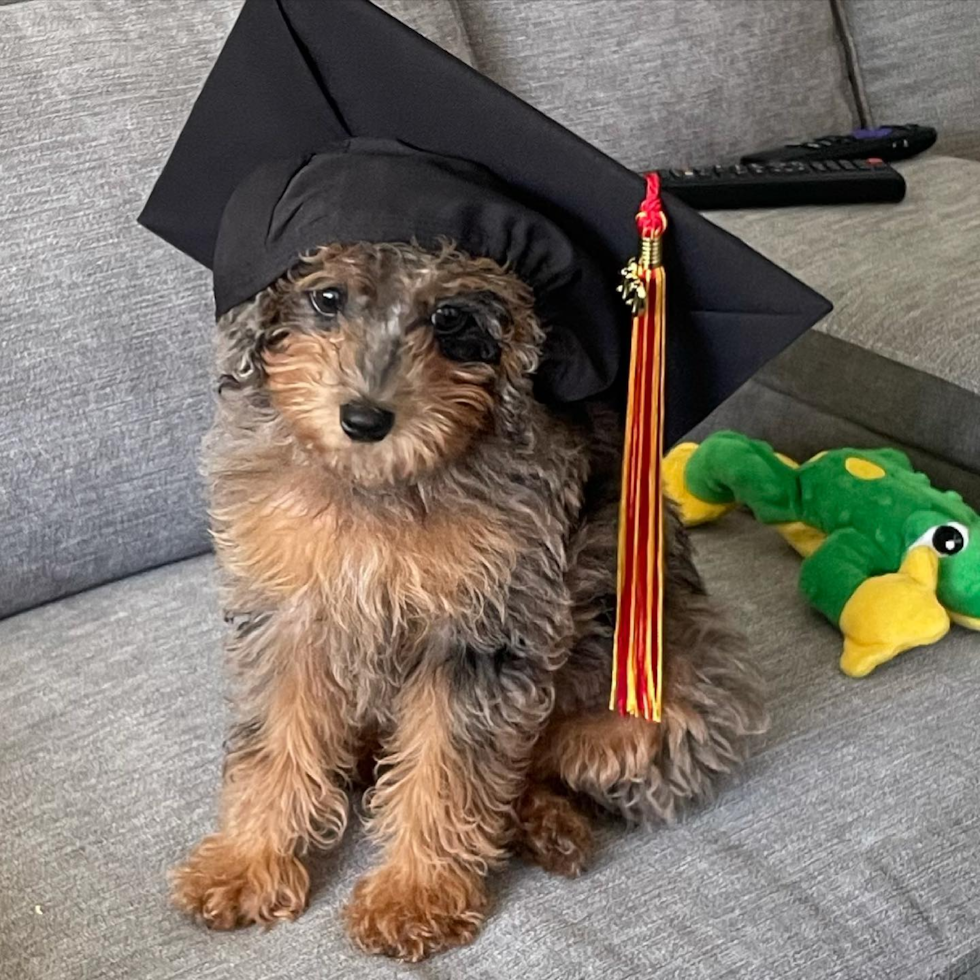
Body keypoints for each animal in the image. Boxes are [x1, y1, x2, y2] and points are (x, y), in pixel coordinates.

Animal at [170, 241, 764, 960]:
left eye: (450, 317)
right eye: (328, 297)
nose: (365, 419)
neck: (382, 490)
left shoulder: (482, 628)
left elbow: (448, 765)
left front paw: (414, 894)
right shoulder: (290, 612)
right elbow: (273, 741)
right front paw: (246, 861)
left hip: (667, 700)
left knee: (543, 760)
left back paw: (543, 824)